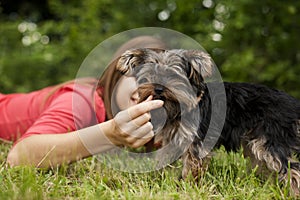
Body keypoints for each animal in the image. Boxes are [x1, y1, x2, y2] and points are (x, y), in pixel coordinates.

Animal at [115, 47, 300, 195]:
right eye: (151, 75)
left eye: (173, 75)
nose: (159, 89)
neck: (178, 108)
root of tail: (293, 103)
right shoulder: (173, 140)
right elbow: (164, 159)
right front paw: (158, 181)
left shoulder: (196, 142)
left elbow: (192, 166)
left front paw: (188, 188)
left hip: (271, 138)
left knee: (291, 167)